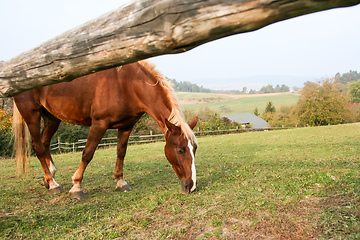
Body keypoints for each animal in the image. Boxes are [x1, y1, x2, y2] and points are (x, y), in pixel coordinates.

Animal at [12, 61, 198, 200]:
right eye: (180, 150)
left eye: (194, 149)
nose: (192, 186)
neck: (126, 83)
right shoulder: (99, 124)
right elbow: (87, 153)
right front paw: (77, 187)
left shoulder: (126, 126)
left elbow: (121, 152)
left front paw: (121, 183)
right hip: (32, 116)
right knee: (38, 146)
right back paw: (52, 184)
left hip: (52, 118)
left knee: (45, 144)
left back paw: (49, 177)